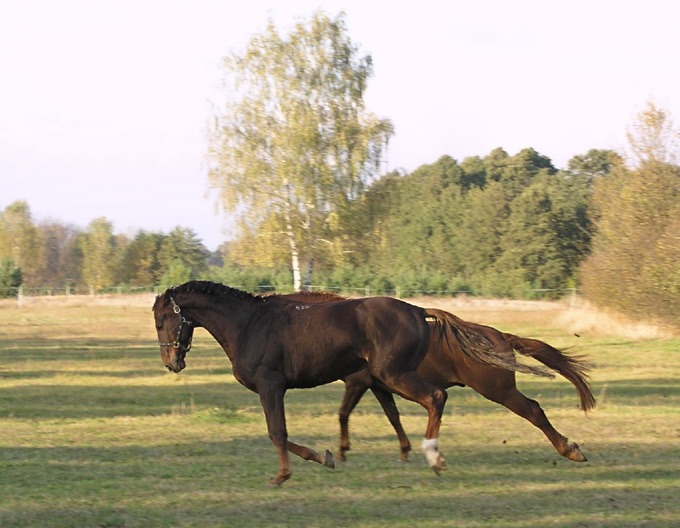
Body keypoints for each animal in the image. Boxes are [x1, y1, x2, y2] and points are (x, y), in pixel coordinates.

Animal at [153, 282, 462, 484]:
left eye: (160, 322)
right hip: (390, 377)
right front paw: (325, 456)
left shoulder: (270, 385)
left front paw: (282, 475)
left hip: (394, 374)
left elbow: (277, 432)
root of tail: (417, 311)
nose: (172, 363)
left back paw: (434, 457)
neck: (248, 325)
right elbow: (281, 434)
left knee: (435, 397)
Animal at [282, 290, 596, 464]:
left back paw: (569, 450)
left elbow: (343, 413)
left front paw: (342, 450)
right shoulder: (380, 387)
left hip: (498, 390)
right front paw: (404, 450)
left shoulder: (358, 383)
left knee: (533, 410)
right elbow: (393, 417)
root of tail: (501, 336)